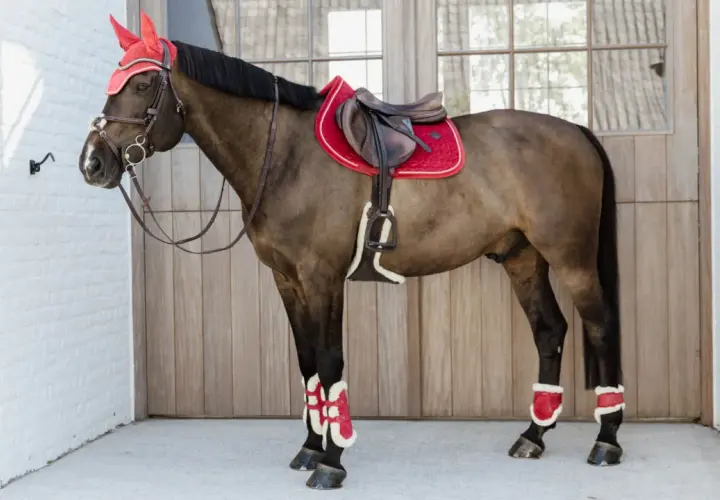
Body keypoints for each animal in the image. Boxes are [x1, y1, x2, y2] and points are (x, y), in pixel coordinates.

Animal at [78, 11, 626, 490]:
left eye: (142, 85)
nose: (93, 162)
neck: (286, 156)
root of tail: (576, 130)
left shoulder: (323, 278)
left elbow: (329, 361)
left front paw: (333, 461)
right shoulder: (287, 279)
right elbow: (306, 362)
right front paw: (310, 448)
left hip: (572, 259)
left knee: (600, 327)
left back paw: (606, 440)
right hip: (523, 258)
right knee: (550, 331)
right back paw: (533, 435)